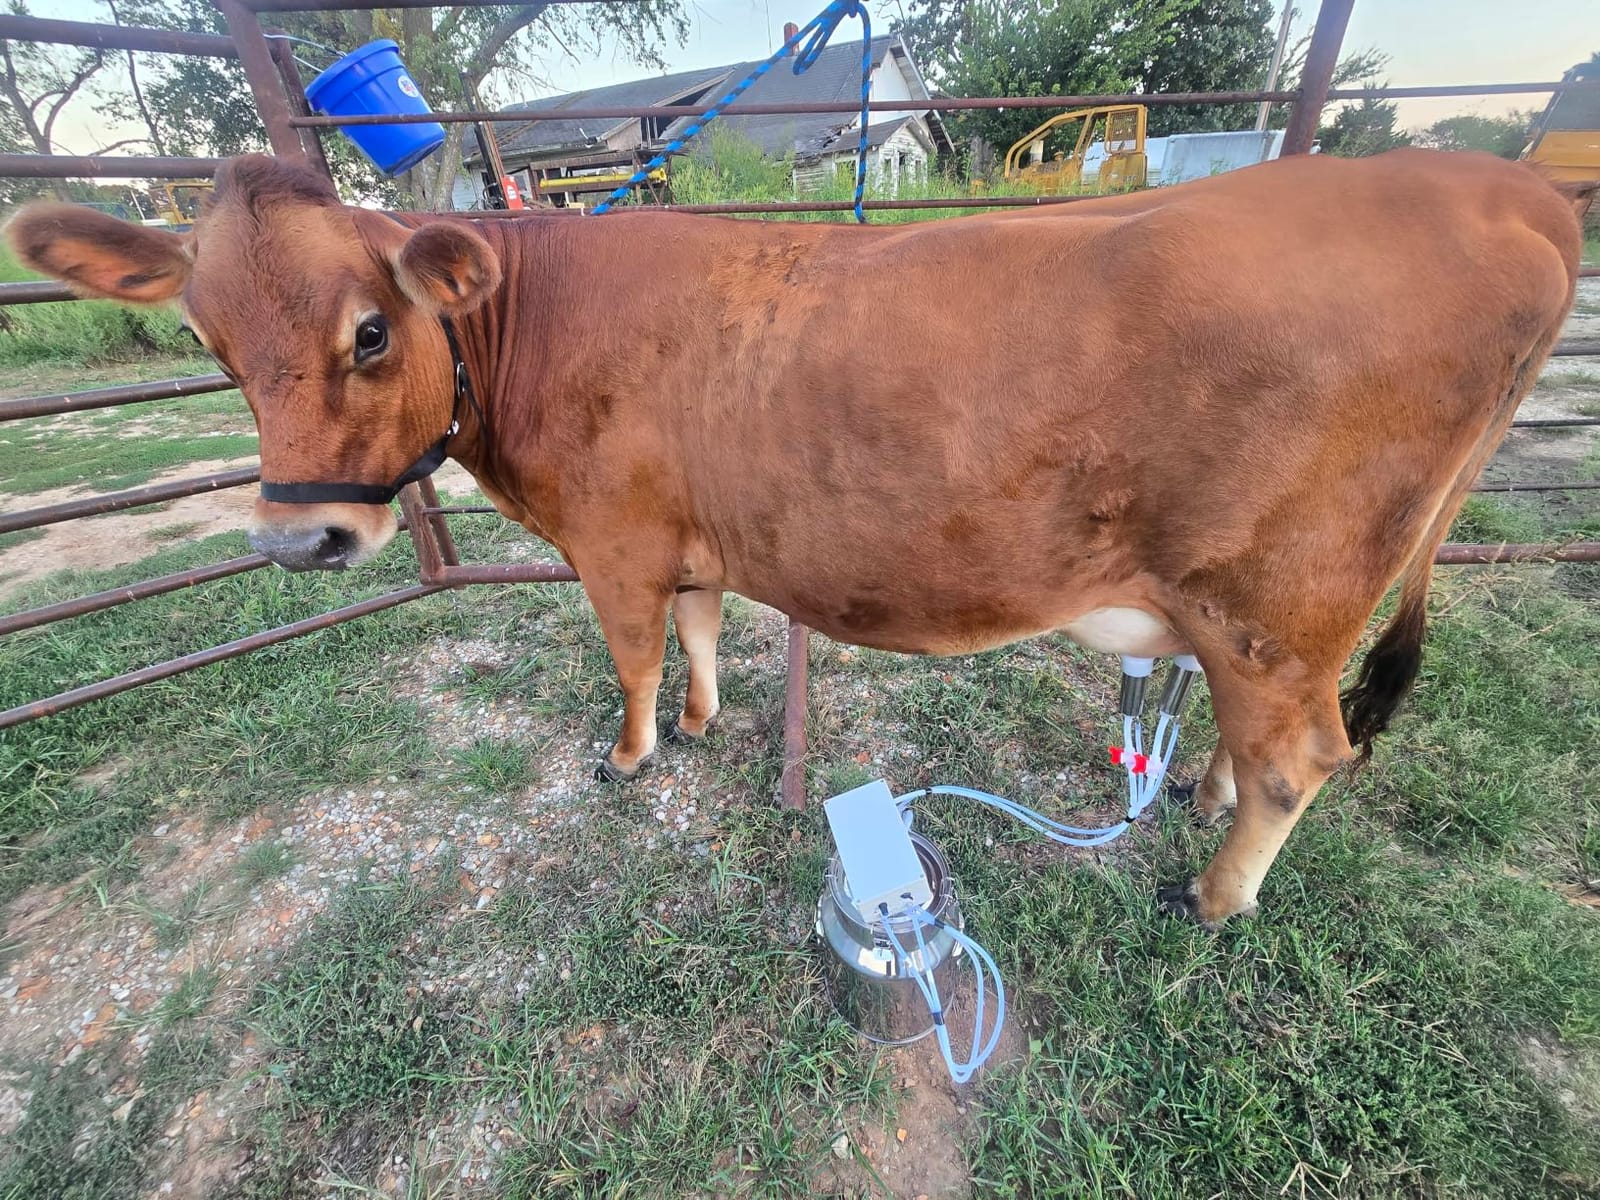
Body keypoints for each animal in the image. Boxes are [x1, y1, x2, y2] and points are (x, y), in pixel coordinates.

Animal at [7, 149, 1581, 928]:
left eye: (371, 330)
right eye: (207, 342)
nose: (302, 546)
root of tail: (1495, 187)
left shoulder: (613, 543)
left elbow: (634, 656)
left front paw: (635, 753)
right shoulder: (690, 538)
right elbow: (704, 631)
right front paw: (710, 722)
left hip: (1278, 597)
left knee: (1304, 757)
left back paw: (1211, 899)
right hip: (1256, 616)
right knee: (1263, 747)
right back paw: (1192, 803)